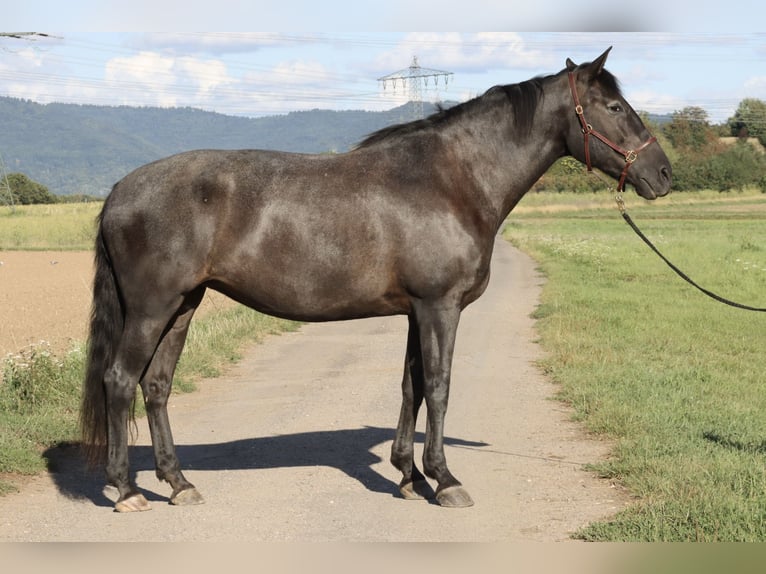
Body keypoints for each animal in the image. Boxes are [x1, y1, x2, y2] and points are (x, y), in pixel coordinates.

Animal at [80, 47, 672, 512]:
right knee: (120, 380)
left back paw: (179, 484)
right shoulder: (440, 307)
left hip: (183, 306)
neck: (453, 179)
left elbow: (412, 385)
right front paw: (445, 479)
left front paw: (410, 476)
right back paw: (126, 491)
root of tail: (119, 190)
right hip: (152, 309)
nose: (664, 174)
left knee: (156, 387)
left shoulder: (416, 310)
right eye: (615, 107)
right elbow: (439, 385)